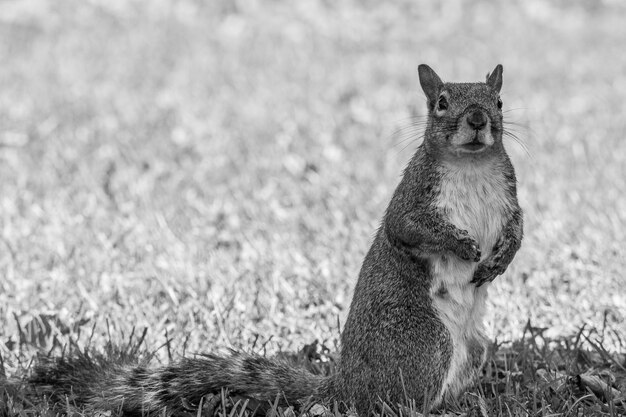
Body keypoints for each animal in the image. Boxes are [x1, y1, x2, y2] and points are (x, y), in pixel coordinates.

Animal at [14, 65, 520, 416]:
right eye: (441, 102)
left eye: (498, 100)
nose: (478, 119)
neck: (470, 166)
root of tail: (344, 385)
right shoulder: (413, 197)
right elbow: (411, 228)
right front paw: (463, 246)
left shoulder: (510, 198)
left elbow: (517, 231)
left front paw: (499, 260)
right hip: (424, 343)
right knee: (393, 403)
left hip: (473, 350)